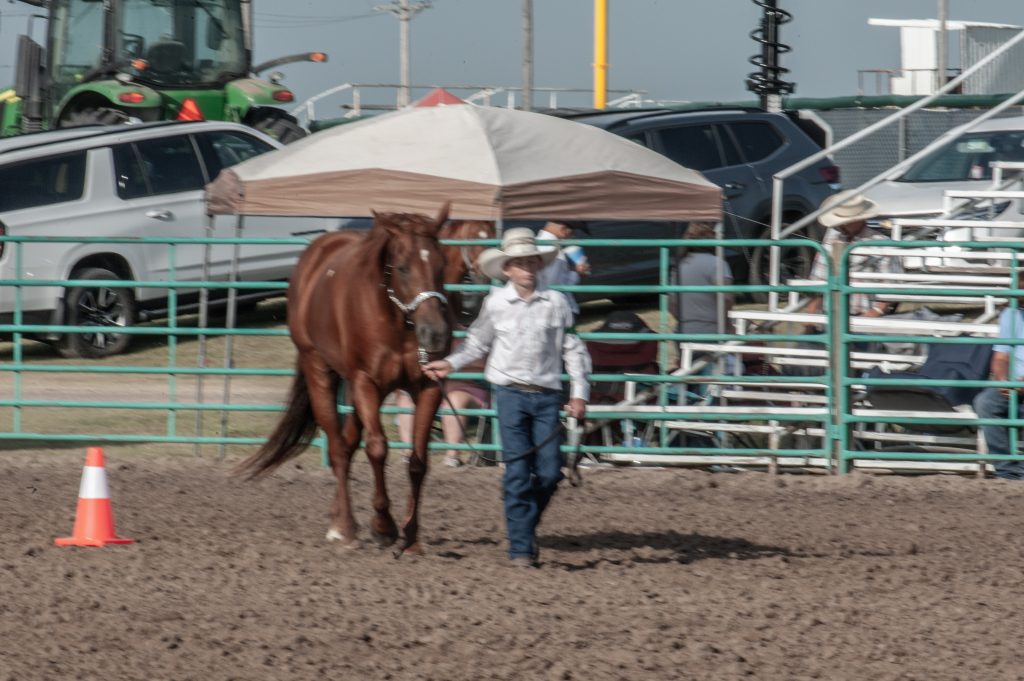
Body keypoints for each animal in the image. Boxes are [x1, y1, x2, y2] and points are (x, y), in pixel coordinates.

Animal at [238, 204, 453, 555]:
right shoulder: (366, 382)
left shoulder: (429, 387)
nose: (435, 334)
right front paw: (383, 526)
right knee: (339, 447)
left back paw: (339, 518)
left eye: (441, 264)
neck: (397, 321)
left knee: (349, 442)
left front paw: (411, 538)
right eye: (403, 267)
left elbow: (418, 462)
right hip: (321, 371)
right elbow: (377, 448)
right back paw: (345, 529)